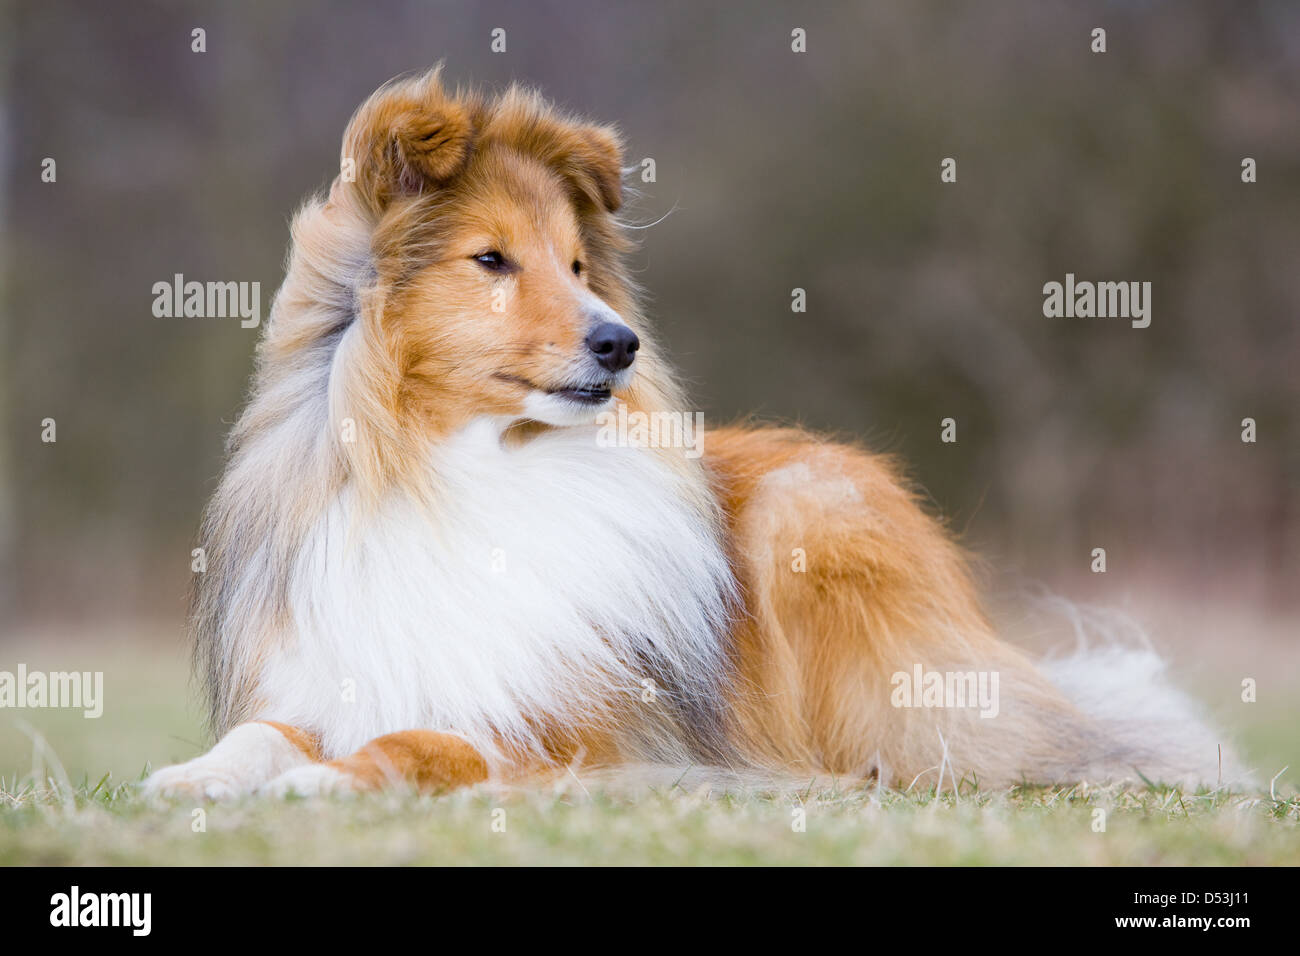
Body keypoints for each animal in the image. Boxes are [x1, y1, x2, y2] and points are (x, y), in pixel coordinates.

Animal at [142, 65, 1227, 801]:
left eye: (579, 265)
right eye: (491, 260)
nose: (619, 344)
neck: (457, 471)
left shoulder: (569, 731)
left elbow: (422, 742)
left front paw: (324, 781)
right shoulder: (336, 678)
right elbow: (263, 734)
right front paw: (194, 777)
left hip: (809, 515)